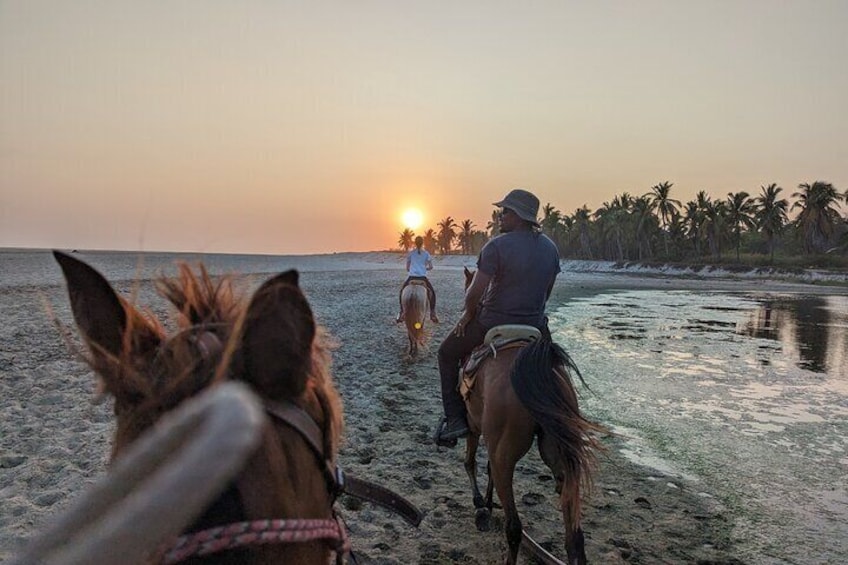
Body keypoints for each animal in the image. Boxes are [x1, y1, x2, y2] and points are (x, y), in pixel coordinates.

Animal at [458, 266, 604, 560]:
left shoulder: (474, 426)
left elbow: (471, 462)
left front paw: (480, 503)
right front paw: (488, 503)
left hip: (505, 454)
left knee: (514, 527)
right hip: (559, 455)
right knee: (575, 538)